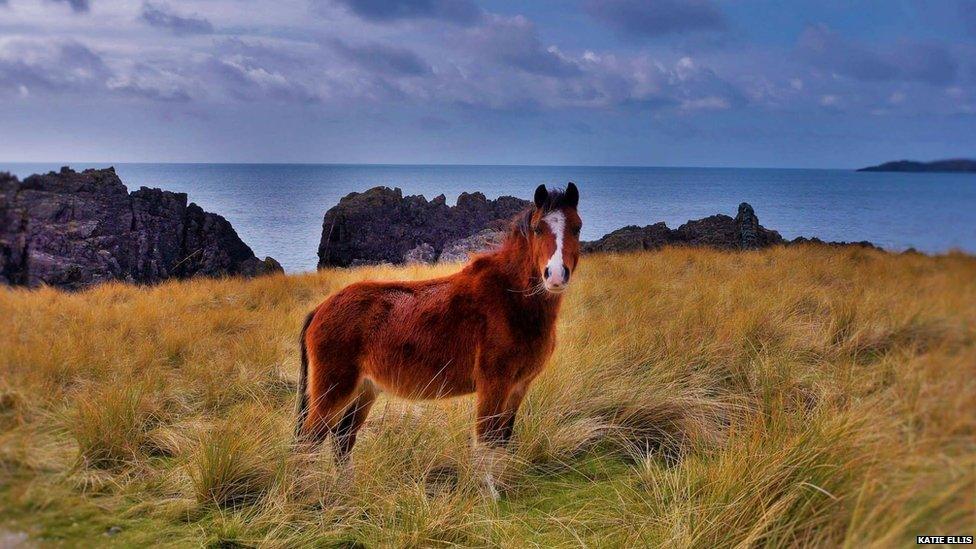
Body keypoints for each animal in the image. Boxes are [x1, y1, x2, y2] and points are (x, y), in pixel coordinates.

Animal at [290, 182, 580, 494]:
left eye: (576, 228)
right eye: (538, 229)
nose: (555, 276)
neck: (511, 300)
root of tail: (320, 308)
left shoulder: (518, 387)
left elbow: (502, 439)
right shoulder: (494, 384)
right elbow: (486, 439)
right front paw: (488, 494)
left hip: (364, 390)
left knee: (342, 439)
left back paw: (347, 492)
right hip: (333, 391)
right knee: (309, 441)